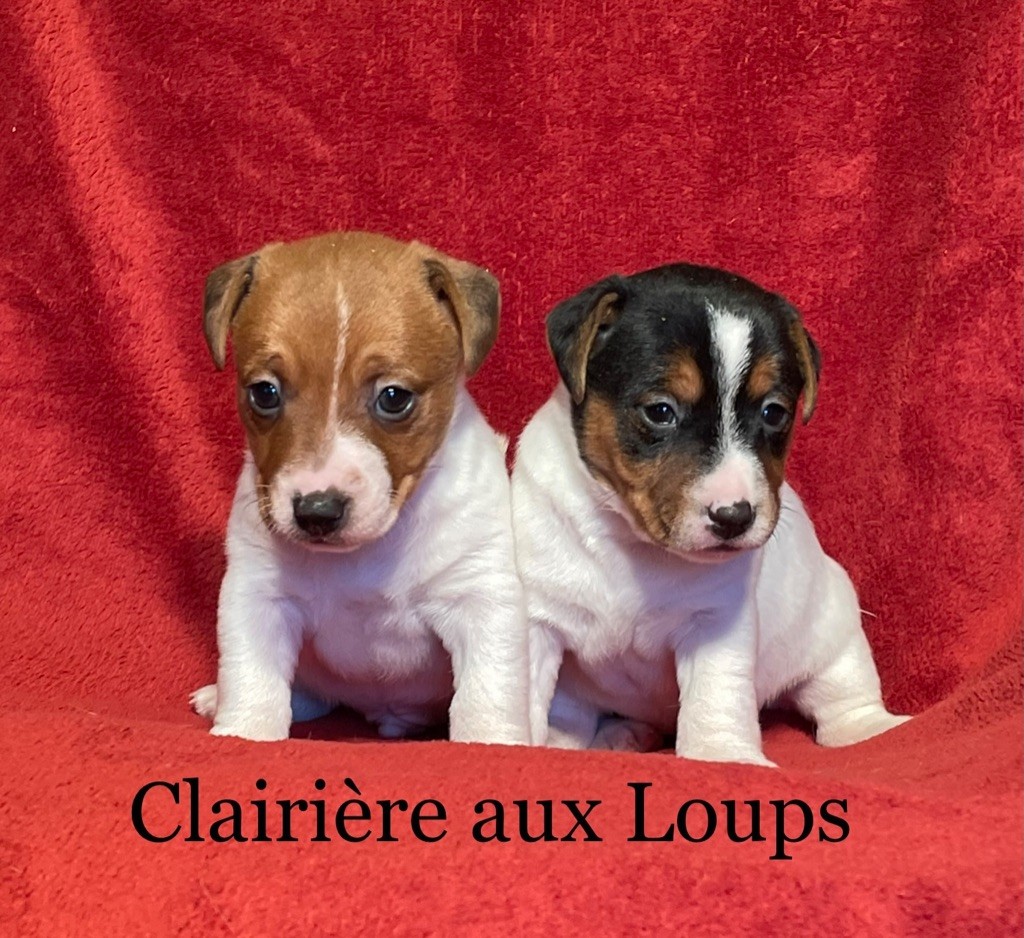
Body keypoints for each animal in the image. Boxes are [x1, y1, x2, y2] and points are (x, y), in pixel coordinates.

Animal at [190, 231, 530, 745]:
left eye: (394, 397)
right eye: (264, 392)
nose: (317, 511)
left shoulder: (480, 599)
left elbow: (486, 693)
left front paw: (491, 742)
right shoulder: (257, 597)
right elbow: (253, 679)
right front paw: (244, 733)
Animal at [512, 263, 909, 765]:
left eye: (774, 412)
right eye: (660, 410)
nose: (734, 516)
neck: (631, 541)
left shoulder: (717, 623)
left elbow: (716, 697)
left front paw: (724, 755)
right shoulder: (536, 618)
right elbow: (522, 687)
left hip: (833, 627)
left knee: (843, 691)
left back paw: (870, 729)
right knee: (577, 714)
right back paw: (608, 737)